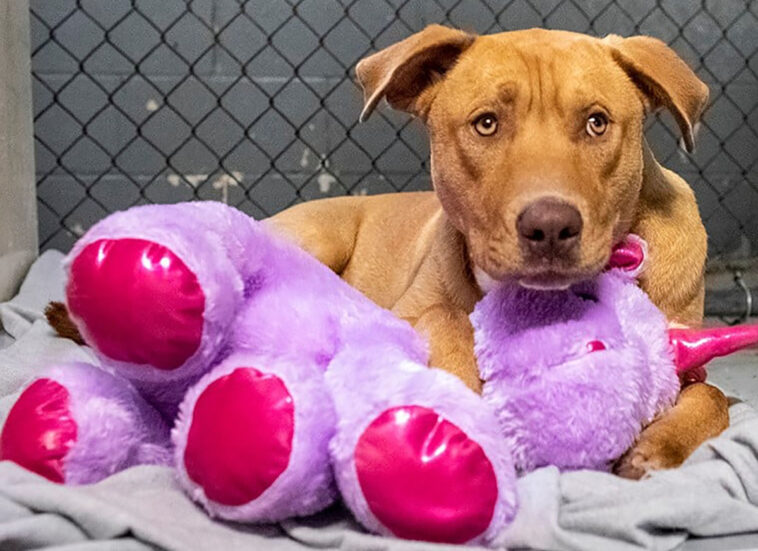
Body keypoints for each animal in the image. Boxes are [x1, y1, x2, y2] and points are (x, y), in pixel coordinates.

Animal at [49, 25, 732, 478]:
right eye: (486, 123)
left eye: (597, 122)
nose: (549, 227)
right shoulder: (414, 309)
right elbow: (448, 324)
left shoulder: (686, 351)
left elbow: (713, 398)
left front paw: (657, 444)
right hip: (311, 240)